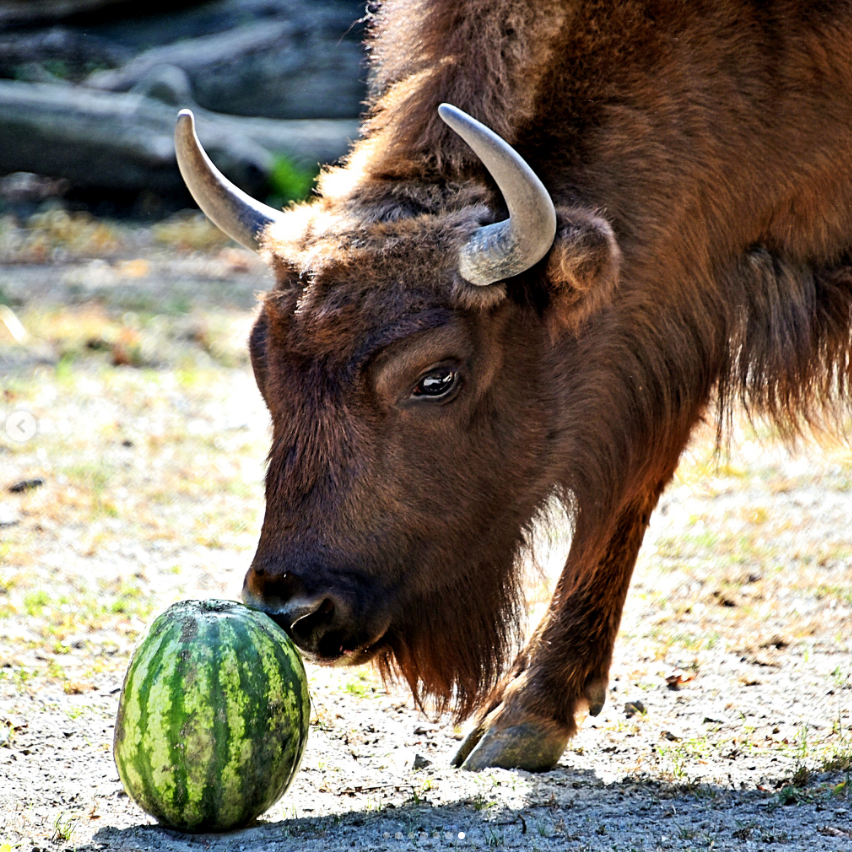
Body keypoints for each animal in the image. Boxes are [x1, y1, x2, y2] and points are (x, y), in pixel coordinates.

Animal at [171, 0, 852, 772]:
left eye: (436, 377)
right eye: (263, 364)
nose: (293, 609)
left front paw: (518, 716)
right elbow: (629, 484)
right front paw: (519, 717)